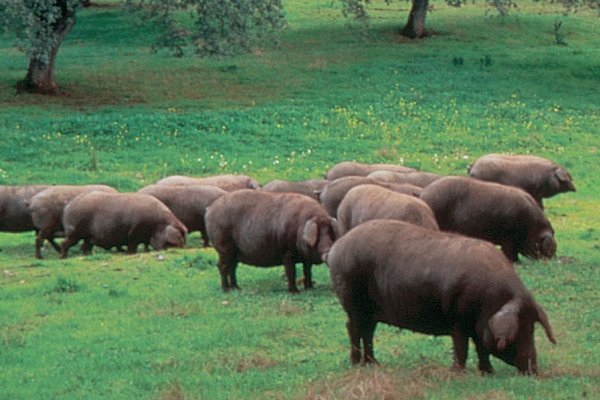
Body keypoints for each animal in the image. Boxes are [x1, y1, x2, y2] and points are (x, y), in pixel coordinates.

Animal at [60, 191, 188, 260]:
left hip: (87, 238)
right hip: (74, 233)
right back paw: (63, 257)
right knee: (64, 244)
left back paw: (87, 255)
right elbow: (132, 247)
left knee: (85, 247)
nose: (182, 247)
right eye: (179, 236)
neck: (158, 224)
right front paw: (129, 254)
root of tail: (68, 206)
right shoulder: (133, 234)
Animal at [205, 189, 338, 292]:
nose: (328, 251)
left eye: (330, 233)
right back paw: (226, 290)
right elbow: (291, 271)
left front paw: (310, 288)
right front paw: (294, 291)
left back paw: (237, 288)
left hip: (234, 253)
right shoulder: (287, 253)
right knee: (222, 266)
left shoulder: (306, 259)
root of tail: (210, 209)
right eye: (319, 234)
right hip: (223, 248)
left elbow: (307, 271)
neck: (298, 228)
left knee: (232, 268)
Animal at [326, 219, 556, 376]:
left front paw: (488, 373)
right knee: (353, 328)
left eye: (532, 327)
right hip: (352, 298)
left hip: (370, 310)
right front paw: (459, 373)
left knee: (368, 331)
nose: (533, 370)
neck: (491, 301)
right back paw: (357, 364)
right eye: (519, 330)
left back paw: (374, 364)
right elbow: (462, 347)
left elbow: (481, 348)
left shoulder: (477, 325)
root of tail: (337, 248)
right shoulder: (458, 319)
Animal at [420, 176, 556, 262]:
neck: (533, 226)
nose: (549, 263)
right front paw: (516, 263)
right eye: (546, 246)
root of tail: (424, 195)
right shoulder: (508, 238)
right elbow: (510, 252)